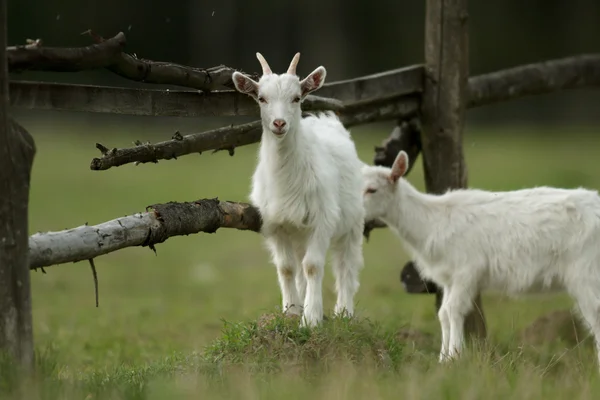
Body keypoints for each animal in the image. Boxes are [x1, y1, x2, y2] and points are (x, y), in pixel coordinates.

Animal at [232, 51, 366, 326]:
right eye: (261, 98)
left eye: (296, 98)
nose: (279, 123)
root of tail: (326, 120)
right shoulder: (275, 224)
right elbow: (287, 268)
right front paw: (292, 311)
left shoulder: (322, 220)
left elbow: (313, 266)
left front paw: (311, 318)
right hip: (299, 233)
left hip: (351, 224)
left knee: (346, 266)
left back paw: (344, 312)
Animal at [360, 151, 600, 368]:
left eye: (372, 189)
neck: (431, 221)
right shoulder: (449, 276)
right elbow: (443, 313)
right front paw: (442, 359)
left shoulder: (467, 270)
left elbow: (454, 309)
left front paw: (454, 357)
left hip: (586, 271)